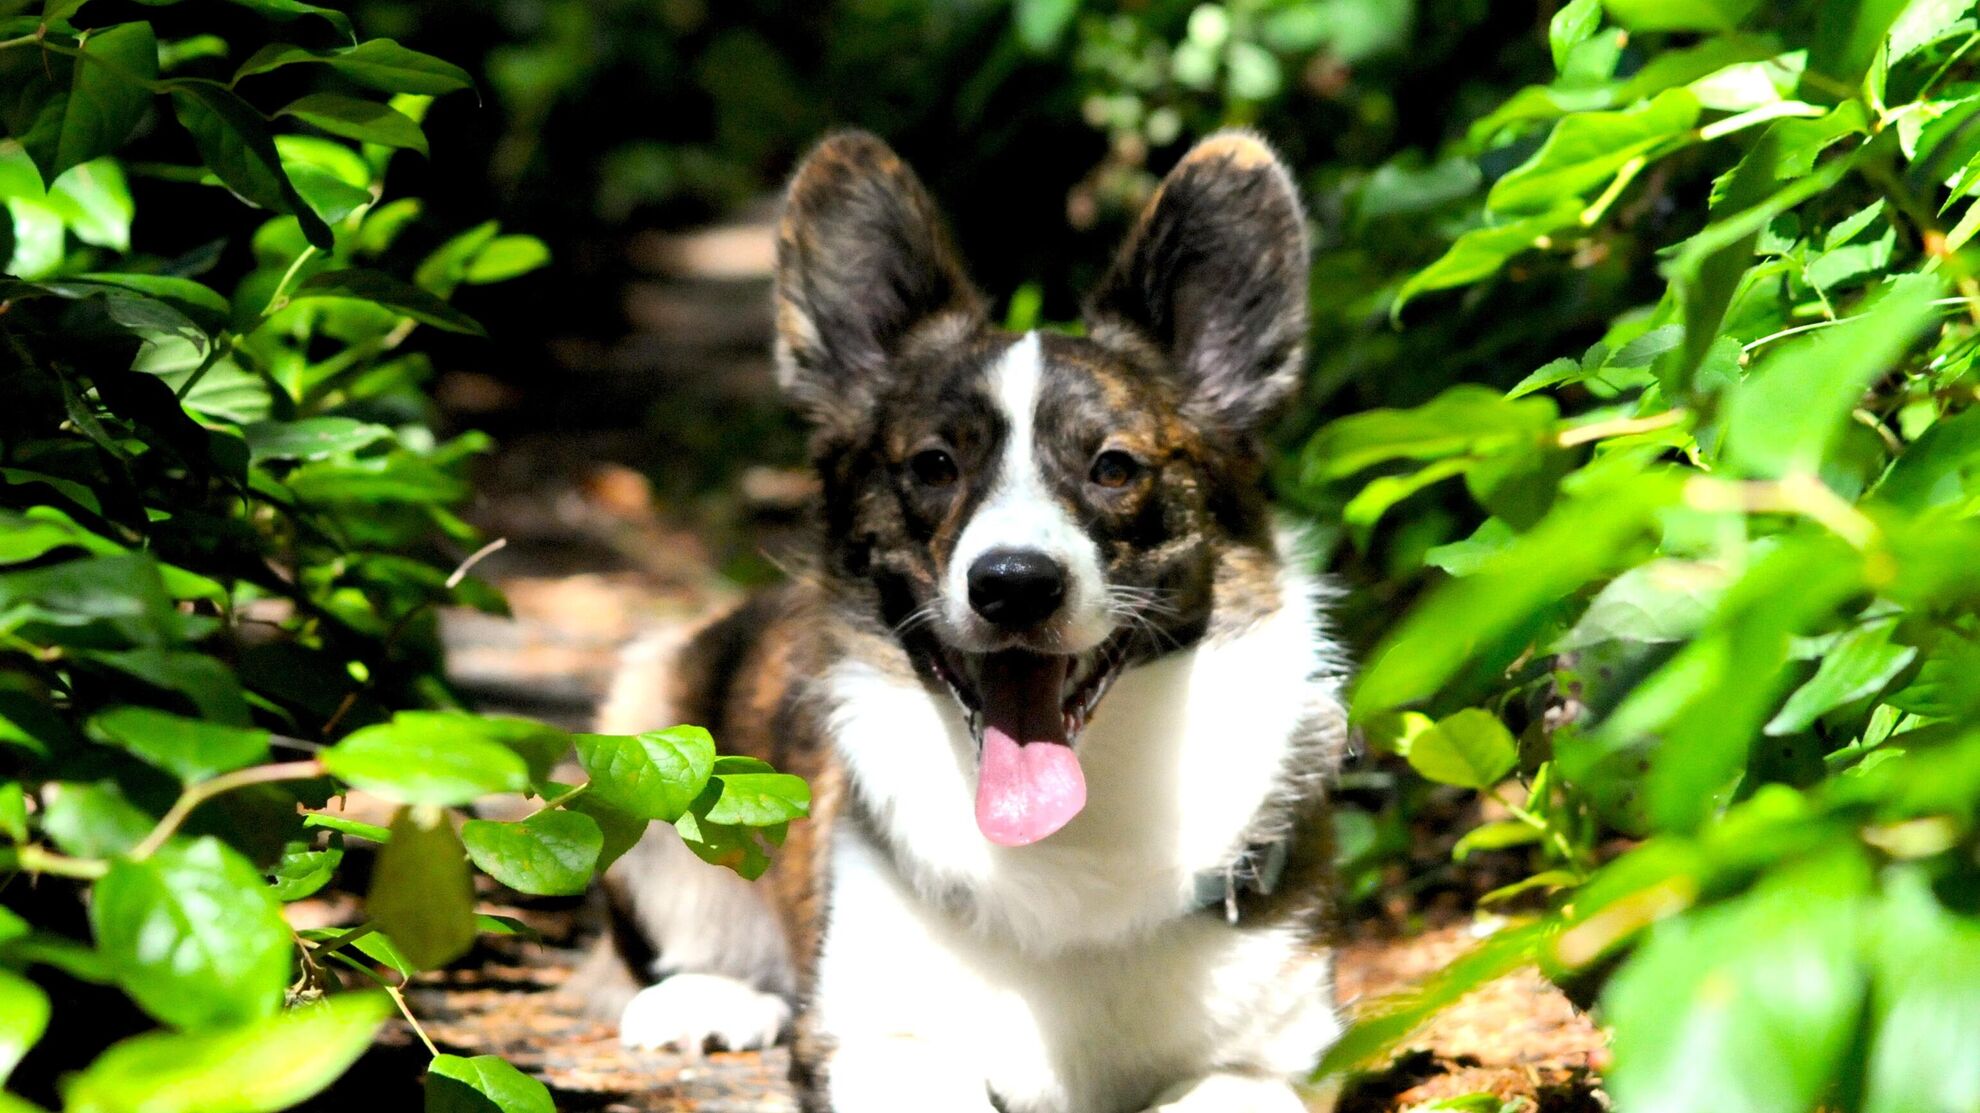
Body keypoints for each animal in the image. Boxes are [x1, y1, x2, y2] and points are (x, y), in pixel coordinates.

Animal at [586, 127, 1354, 1109]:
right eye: (934, 465)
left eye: (1112, 466)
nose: (1015, 584)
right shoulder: (879, 1041)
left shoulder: (1275, 1065)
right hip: (648, 712)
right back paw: (710, 994)